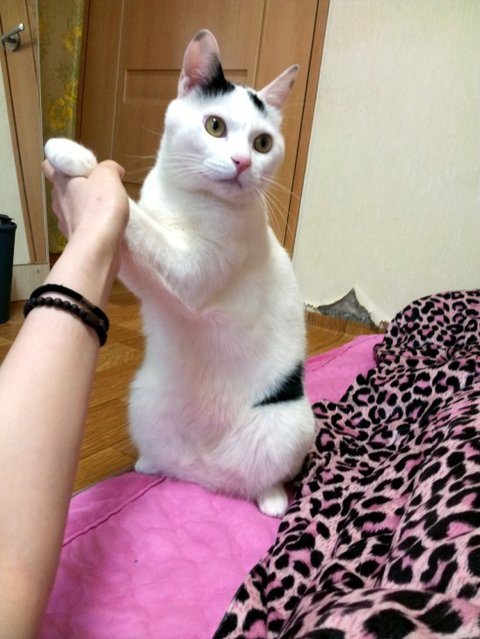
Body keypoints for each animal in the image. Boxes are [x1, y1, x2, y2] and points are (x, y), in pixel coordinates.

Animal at [44, 29, 315, 517]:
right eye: (215, 126)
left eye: (263, 144)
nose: (242, 162)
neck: (188, 199)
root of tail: (204, 471)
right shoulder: (150, 275)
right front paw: (72, 153)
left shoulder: (187, 275)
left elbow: (132, 215)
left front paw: (76, 158)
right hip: (143, 397)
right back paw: (151, 464)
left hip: (294, 423)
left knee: (268, 475)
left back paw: (272, 500)